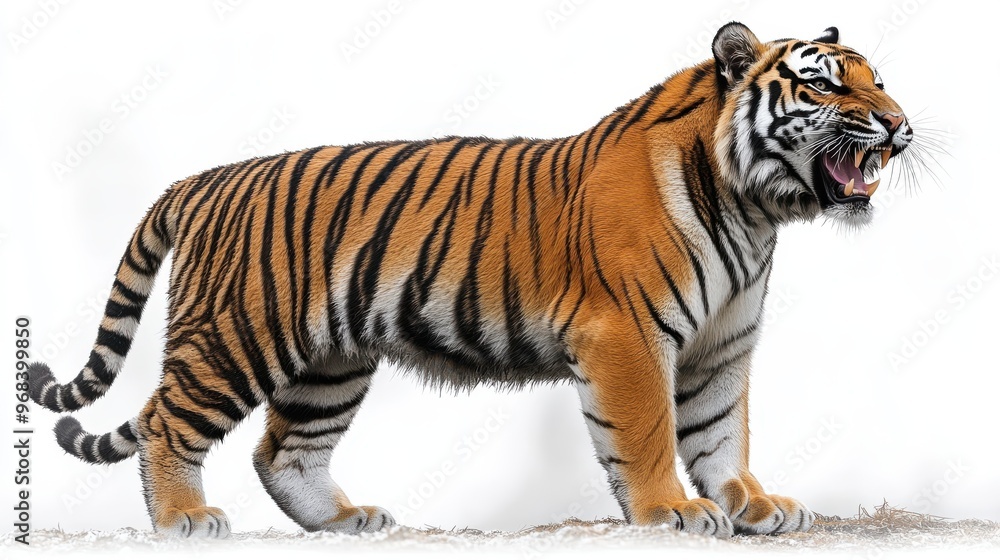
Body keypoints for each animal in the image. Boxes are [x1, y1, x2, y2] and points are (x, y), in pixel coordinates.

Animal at [28, 22, 913, 538]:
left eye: (878, 77)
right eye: (825, 82)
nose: (901, 126)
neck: (753, 211)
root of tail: (204, 177)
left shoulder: (719, 349)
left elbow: (722, 431)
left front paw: (754, 503)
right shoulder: (628, 334)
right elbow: (651, 431)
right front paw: (672, 510)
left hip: (329, 363)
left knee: (283, 451)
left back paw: (348, 521)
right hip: (238, 336)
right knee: (164, 422)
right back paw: (186, 519)